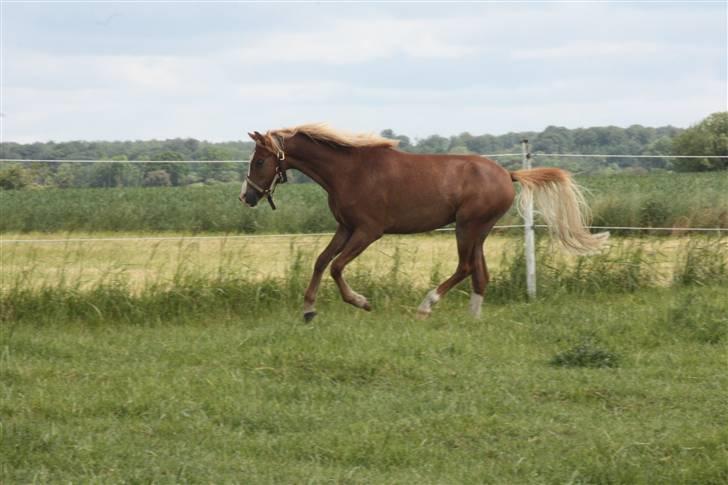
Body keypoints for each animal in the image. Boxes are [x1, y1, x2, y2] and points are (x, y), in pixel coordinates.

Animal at [240, 124, 608, 322]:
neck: (349, 171)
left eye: (259, 161)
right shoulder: (345, 227)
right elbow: (320, 262)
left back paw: (426, 306)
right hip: (479, 231)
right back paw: (472, 317)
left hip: (467, 226)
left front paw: (362, 302)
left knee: (465, 268)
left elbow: (336, 267)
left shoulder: (368, 231)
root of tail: (508, 174)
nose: (247, 197)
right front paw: (308, 310)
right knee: (480, 274)